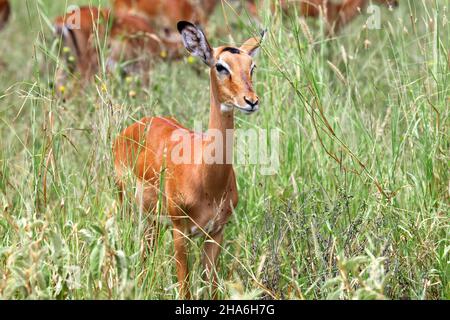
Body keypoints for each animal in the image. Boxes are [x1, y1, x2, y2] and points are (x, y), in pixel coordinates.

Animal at [112, 21, 264, 298]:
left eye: (252, 66)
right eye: (220, 66)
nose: (251, 101)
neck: (207, 179)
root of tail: (131, 129)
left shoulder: (215, 232)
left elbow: (212, 288)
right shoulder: (180, 233)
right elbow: (184, 289)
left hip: (152, 222)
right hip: (129, 210)